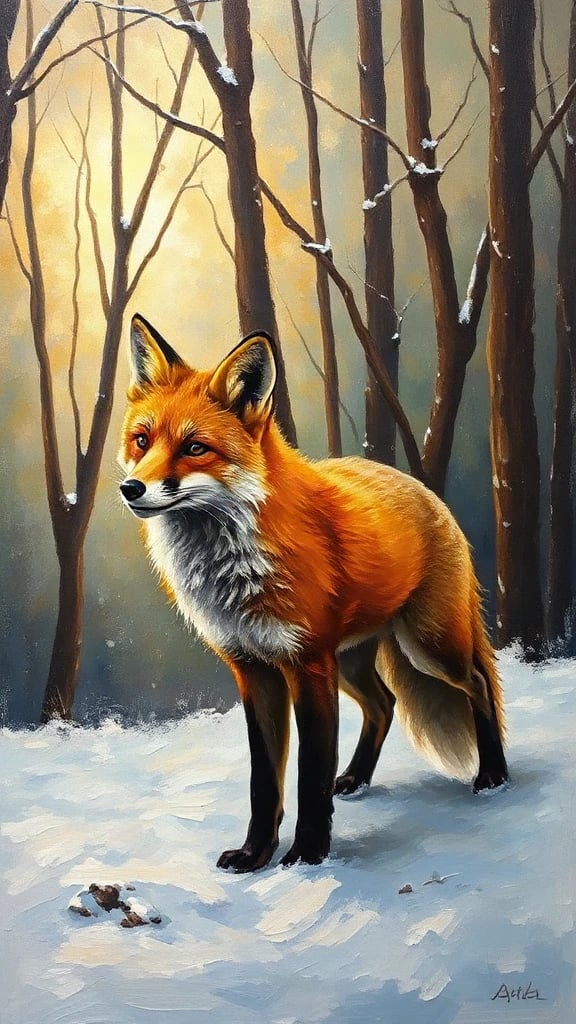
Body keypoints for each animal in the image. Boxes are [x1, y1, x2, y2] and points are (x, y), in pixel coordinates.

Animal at [119, 313, 509, 872]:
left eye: (195, 448)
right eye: (141, 440)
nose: (131, 489)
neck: (233, 572)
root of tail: (422, 489)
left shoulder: (306, 664)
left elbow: (310, 774)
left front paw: (307, 855)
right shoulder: (254, 669)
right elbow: (265, 781)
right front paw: (255, 854)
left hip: (428, 647)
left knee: (477, 684)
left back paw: (493, 775)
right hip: (351, 661)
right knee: (385, 703)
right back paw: (358, 778)